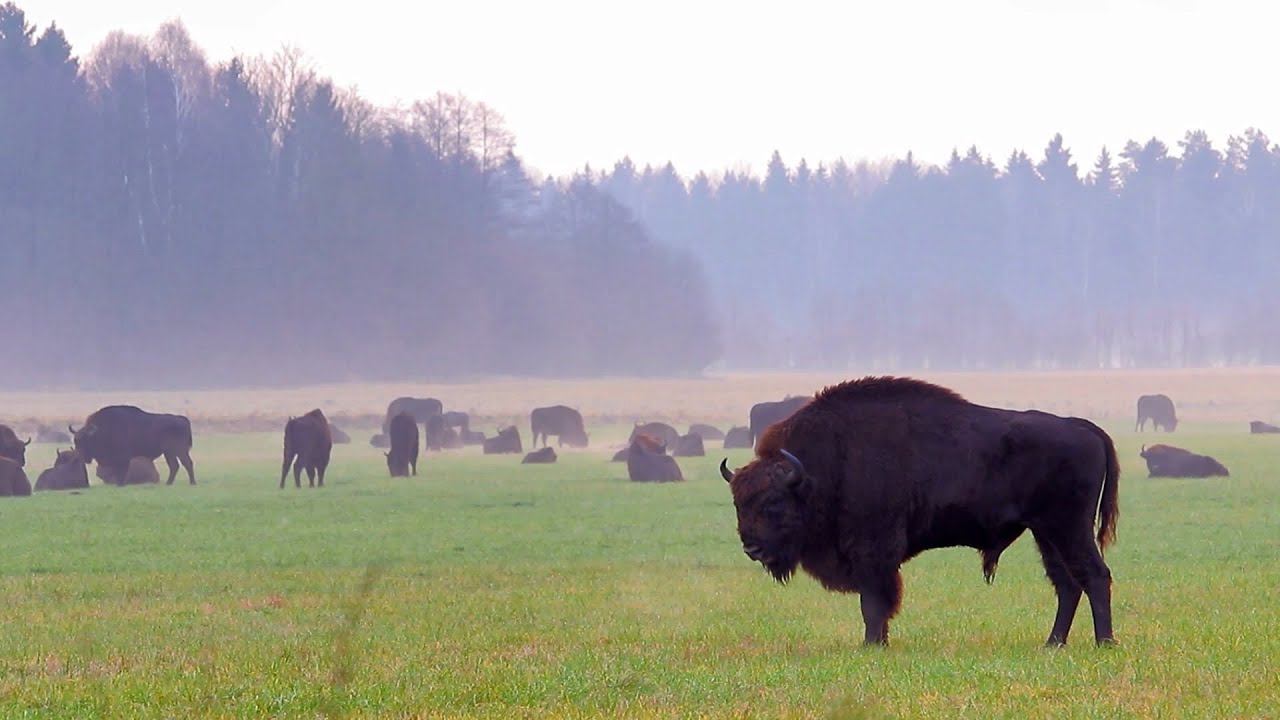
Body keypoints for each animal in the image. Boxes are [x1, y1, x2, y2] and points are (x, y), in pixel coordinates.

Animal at [721, 376, 1121, 645]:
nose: (751, 548)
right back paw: (1053, 643)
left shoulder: (874, 552)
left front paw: (872, 645)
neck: (823, 466)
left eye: (773, 502)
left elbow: (874, 601)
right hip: (1045, 532)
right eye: (739, 502)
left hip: (1067, 528)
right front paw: (878, 642)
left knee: (1094, 575)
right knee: (1067, 583)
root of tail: (1083, 427)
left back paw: (1103, 642)